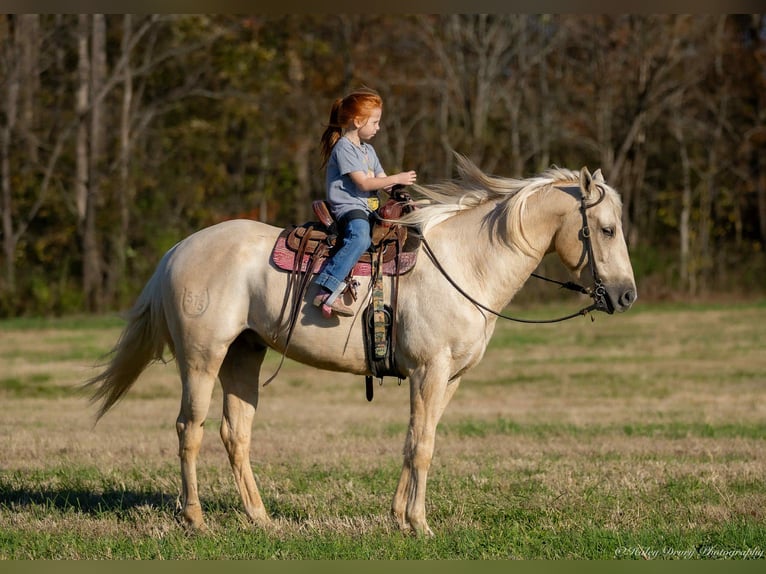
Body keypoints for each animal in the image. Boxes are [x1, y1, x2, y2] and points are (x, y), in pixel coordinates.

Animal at [85, 155, 637, 537]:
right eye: (607, 229)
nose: (627, 295)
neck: (467, 262)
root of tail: (179, 249)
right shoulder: (429, 371)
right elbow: (422, 444)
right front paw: (420, 525)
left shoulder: (449, 379)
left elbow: (417, 440)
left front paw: (401, 518)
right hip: (202, 359)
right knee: (189, 429)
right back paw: (196, 518)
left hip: (243, 355)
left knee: (234, 434)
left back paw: (261, 519)